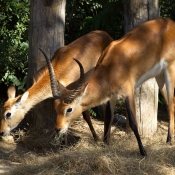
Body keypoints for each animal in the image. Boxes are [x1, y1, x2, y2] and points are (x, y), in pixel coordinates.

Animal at [44, 17, 175, 157]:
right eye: (56, 107)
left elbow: (133, 122)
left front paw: (143, 151)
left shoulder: (128, 92)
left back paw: (169, 141)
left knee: (172, 103)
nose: (58, 128)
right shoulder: (111, 96)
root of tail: (170, 22)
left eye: (69, 109)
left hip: (170, 70)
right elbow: (108, 118)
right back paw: (168, 139)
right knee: (168, 105)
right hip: (159, 75)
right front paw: (105, 144)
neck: (111, 67)